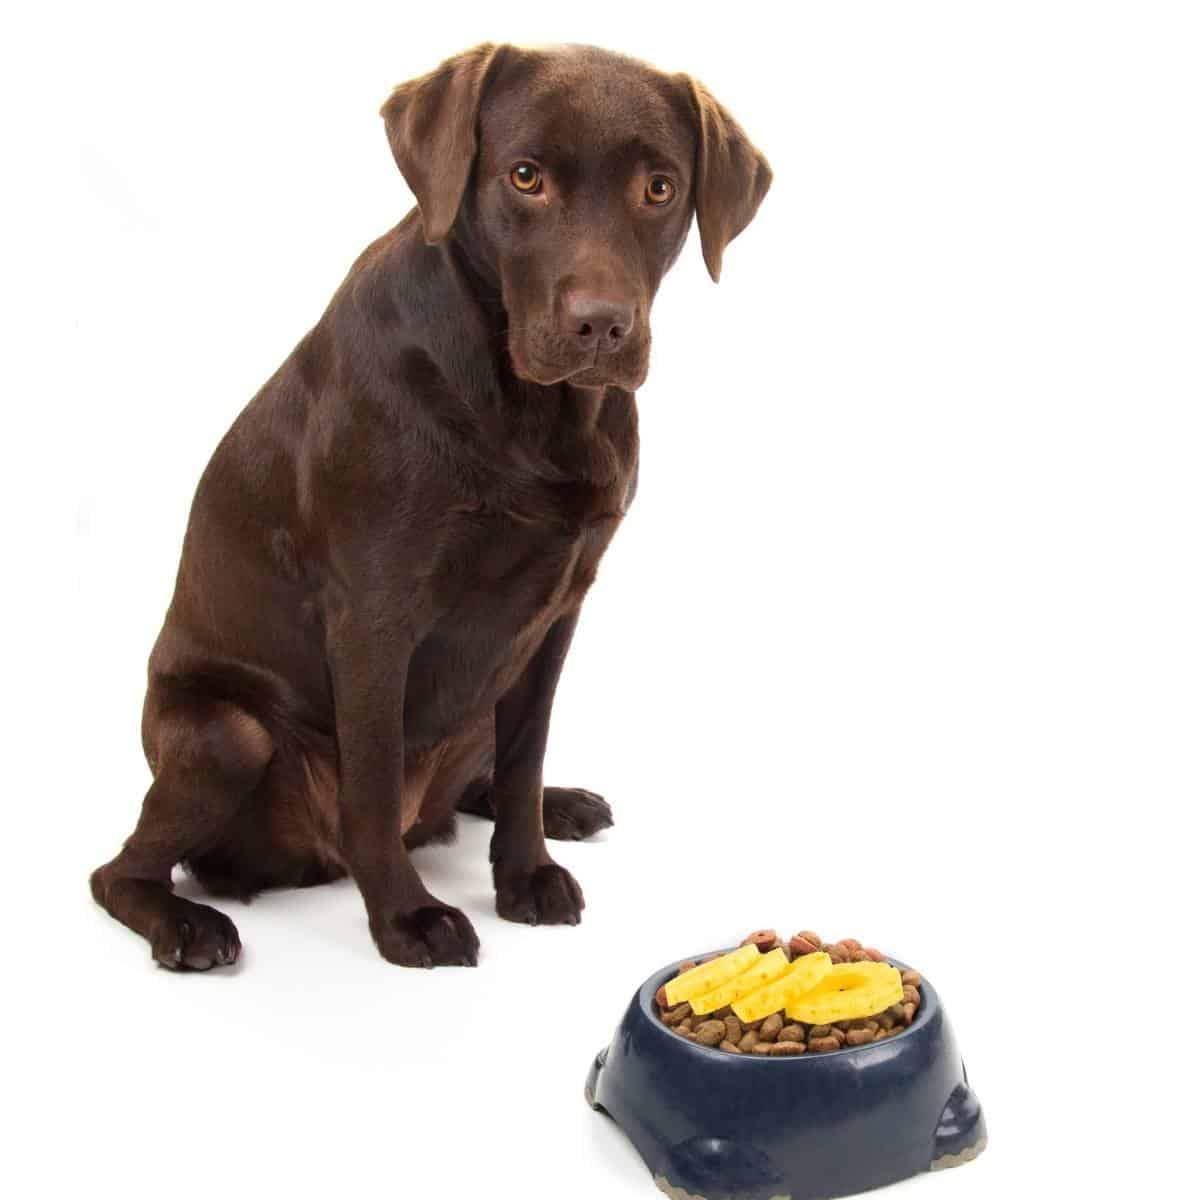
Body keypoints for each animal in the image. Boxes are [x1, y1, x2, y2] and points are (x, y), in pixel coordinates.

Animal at [91, 42, 768, 969]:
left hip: (483, 694)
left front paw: (525, 873)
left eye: (659, 189)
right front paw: (406, 916)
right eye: (525, 177)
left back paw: (562, 803)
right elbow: (374, 787)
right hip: (227, 737)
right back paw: (189, 924)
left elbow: (522, 761)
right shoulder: (376, 612)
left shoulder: (557, 613)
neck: (529, 411)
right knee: (120, 870)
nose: (602, 327)